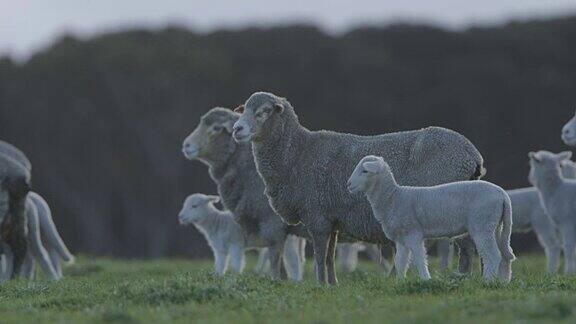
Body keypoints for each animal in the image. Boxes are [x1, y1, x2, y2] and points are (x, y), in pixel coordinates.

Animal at [232, 90, 484, 284]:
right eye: (243, 109)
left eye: (264, 111)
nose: (237, 129)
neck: (297, 155)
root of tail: (472, 155)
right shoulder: (332, 218)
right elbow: (329, 256)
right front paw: (332, 284)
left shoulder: (317, 216)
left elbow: (320, 255)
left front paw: (320, 285)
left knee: (467, 247)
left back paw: (464, 278)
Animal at [344, 156, 516, 282]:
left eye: (365, 171)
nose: (348, 184)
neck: (393, 197)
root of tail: (502, 194)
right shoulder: (400, 239)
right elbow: (400, 262)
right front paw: (400, 282)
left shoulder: (413, 233)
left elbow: (419, 259)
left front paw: (426, 280)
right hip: (496, 225)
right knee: (504, 254)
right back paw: (503, 281)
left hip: (482, 225)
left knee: (493, 255)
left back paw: (487, 281)